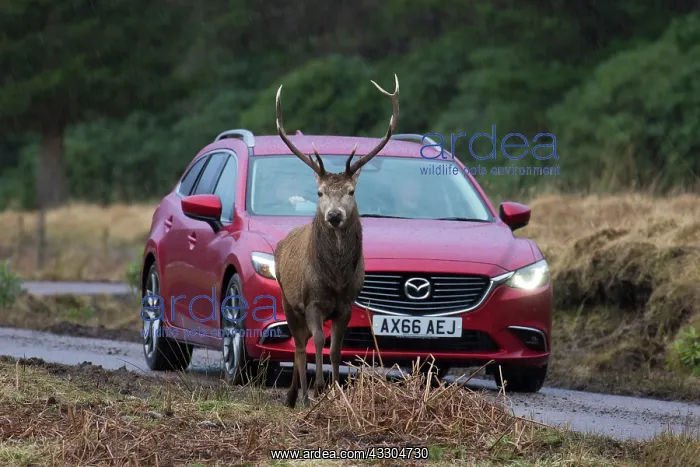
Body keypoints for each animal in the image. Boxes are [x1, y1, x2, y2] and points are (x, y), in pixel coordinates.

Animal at [273, 75, 400, 408]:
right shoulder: (312, 302)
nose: (333, 215)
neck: (335, 278)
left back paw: (295, 394)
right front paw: (316, 390)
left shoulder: (346, 305)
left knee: (302, 343)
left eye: (351, 191)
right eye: (319, 192)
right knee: (300, 345)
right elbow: (318, 342)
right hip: (288, 300)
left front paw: (334, 391)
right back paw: (297, 395)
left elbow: (336, 347)